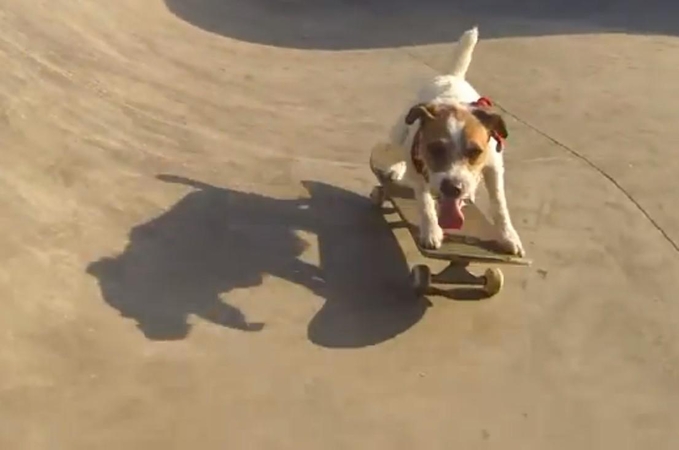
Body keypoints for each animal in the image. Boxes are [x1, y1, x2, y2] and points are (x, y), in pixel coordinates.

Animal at [382, 26, 524, 255]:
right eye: (435, 149)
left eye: (475, 152)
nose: (453, 188)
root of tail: (452, 76)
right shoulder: (418, 168)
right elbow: (424, 202)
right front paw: (431, 230)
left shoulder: (494, 167)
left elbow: (499, 203)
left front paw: (508, 235)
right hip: (400, 134)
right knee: (397, 150)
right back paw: (396, 167)